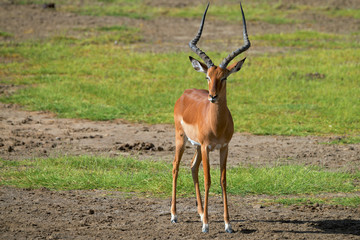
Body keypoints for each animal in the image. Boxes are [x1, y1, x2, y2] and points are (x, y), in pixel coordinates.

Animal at [169, 2, 249, 233]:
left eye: (224, 77)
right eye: (207, 76)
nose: (212, 96)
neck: (217, 125)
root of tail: (185, 93)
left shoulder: (224, 147)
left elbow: (223, 180)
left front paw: (227, 224)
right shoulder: (206, 147)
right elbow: (208, 180)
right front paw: (206, 224)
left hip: (195, 146)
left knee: (192, 167)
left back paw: (199, 212)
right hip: (182, 139)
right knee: (176, 167)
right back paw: (175, 215)